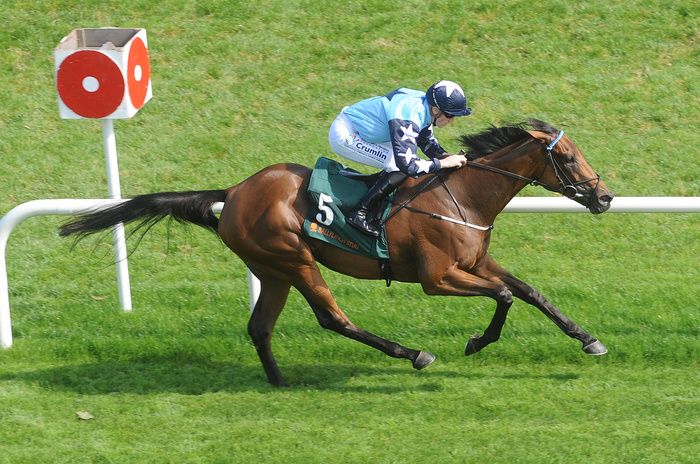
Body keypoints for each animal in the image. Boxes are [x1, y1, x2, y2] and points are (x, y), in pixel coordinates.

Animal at [63, 119, 616, 388]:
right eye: (568, 159)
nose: (605, 197)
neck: (461, 194)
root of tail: (235, 191)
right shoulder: (439, 278)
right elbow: (503, 295)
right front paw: (478, 342)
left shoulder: (475, 262)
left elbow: (529, 291)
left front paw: (588, 339)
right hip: (294, 259)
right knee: (333, 319)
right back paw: (412, 353)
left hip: (272, 270)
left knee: (260, 327)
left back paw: (279, 382)